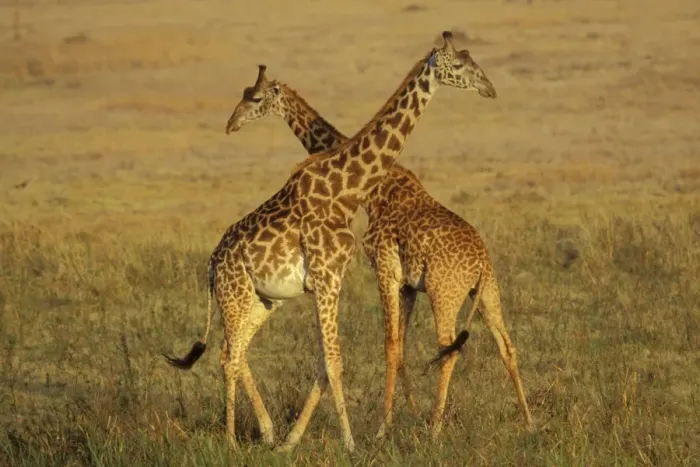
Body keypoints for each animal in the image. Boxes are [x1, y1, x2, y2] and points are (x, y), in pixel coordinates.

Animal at [164, 31, 498, 452]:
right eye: (459, 65)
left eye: (472, 61)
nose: (489, 88)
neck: (347, 191)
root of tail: (211, 265)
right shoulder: (327, 279)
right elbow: (336, 362)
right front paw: (352, 443)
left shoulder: (334, 280)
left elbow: (328, 362)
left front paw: (296, 440)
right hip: (235, 295)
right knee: (229, 357)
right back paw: (231, 441)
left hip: (262, 301)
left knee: (235, 353)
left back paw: (267, 432)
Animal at [225, 64, 535, 438]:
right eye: (243, 94)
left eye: (255, 98)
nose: (232, 123)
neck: (372, 190)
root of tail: (482, 262)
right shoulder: (407, 284)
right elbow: (400, 347)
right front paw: (408, 412)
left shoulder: (384, 266)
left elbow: (390, 345)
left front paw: (384, 426)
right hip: (487, 292)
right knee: (507, 346)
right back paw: (529, 422)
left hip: (444, 292)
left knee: (448, 347)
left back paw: (436, 429)